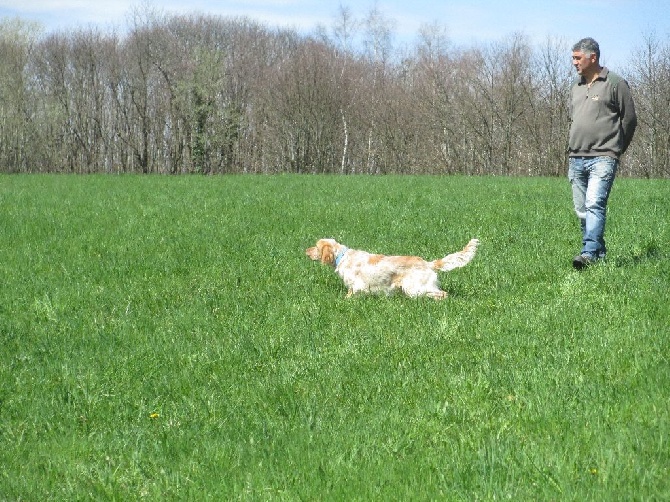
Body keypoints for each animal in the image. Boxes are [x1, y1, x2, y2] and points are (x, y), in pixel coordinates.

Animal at [308, 238, 480, 300]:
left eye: (316, 246)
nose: (305, 251)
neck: (342, 257)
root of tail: (428, 263)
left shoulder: (356, 286)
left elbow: (349, 296)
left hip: (414, 288)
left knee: (443, 294)